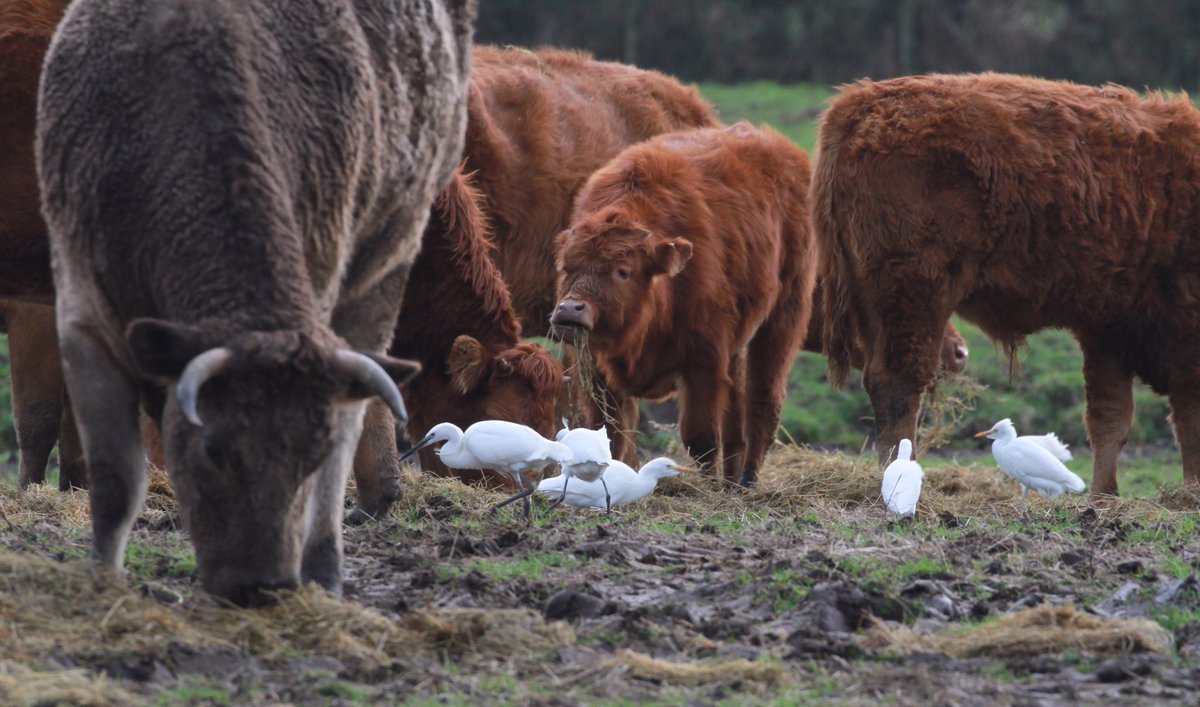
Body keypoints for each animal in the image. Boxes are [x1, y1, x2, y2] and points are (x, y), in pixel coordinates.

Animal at [37, 0, 474, 605]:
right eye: (214, 449)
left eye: (305, 460)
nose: (260, 587)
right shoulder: (82, 311)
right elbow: (117, 477)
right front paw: (102, 580)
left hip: (386, 264)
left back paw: (325, 566)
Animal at [551, 122, 815, 488]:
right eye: (566, 267)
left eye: (622, 271)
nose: (570, 310)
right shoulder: (599, 371)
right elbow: (610, 434)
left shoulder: (704, 361)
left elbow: (701, 438)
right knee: (736, 417)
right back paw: (732, 483)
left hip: (783, 319)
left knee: (763, 401)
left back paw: (747, 481)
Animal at [815, 72, 1200, 497]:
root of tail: (860, 104)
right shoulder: (1175, 333)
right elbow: (1186, 420)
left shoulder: (1108, 329)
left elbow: (1110, 419)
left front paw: (1105, 493)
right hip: (914, 297)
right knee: (899, 385)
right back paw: (897, 472)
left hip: (875, 305)